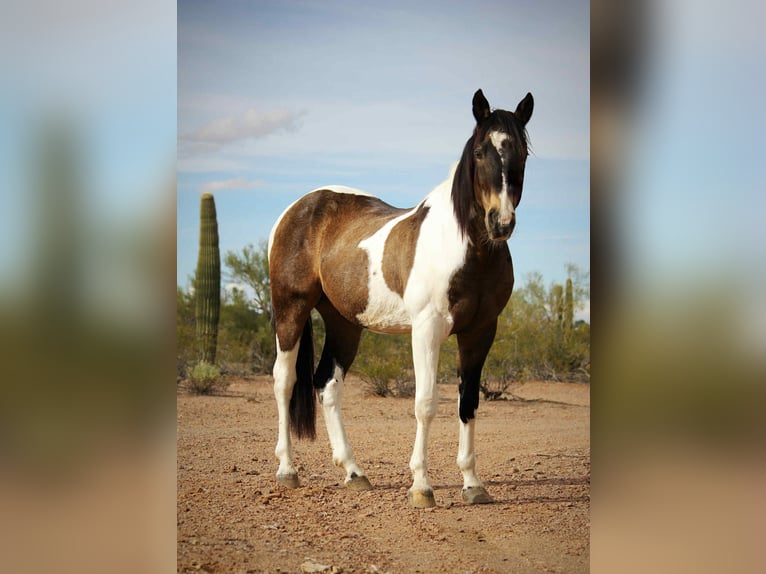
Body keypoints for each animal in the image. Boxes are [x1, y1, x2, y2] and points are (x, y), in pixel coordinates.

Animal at [267, 89, 533, 508]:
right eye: (479, 151)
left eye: (522, 152)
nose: (500, 223)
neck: (466, 247)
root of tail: (297, 208)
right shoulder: (427, 329)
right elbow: (425, 404)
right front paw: (422, 487)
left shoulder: (480, 333)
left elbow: (468, 402)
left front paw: (473, 484)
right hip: (289, 310)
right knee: (285, 381)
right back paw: (287, 470)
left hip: (344, 324)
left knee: (327, 385)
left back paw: (354, 472)